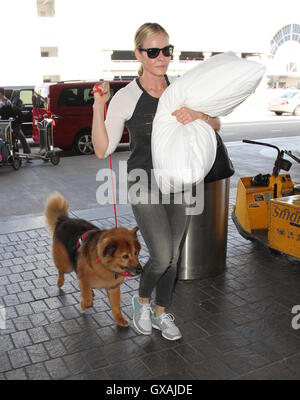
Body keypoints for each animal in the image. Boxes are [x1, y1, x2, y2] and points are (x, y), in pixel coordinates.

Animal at [45, 192, 142, 326]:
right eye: (125, 256)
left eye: (136, 253)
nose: (140, 270)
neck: (105, 265)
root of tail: (64, 220)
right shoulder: (84, 279)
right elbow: (88, 301)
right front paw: (83, 305)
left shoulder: (113, 288)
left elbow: (116, 306)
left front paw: (119, 319)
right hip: (66, 265)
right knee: (61, 269)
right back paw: (60, 281)